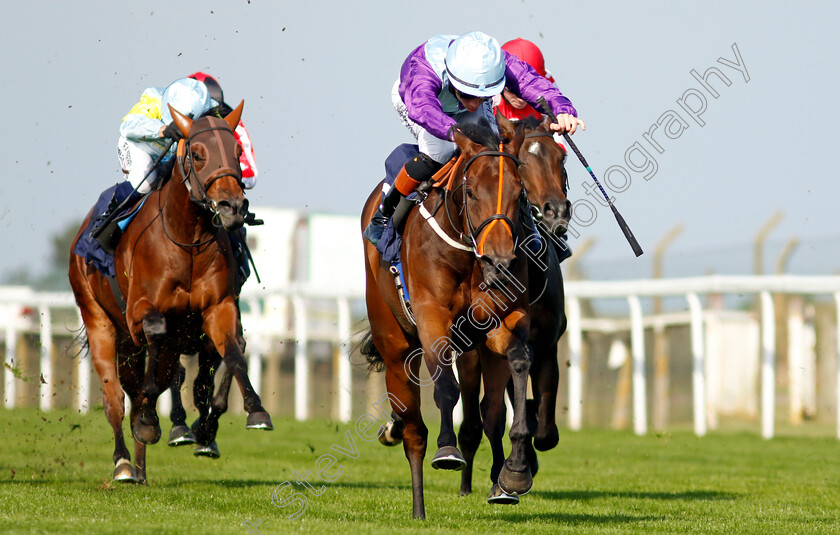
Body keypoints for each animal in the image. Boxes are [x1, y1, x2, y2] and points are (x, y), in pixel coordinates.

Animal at [71, 102, 272, 484]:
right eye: (196, 153)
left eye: (237, 152)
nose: (232, 207)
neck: (186, 239)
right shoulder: (139, 313)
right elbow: (160, 350)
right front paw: (158, 419)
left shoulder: (218, 308)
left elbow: (233, 354)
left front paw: (254, 411)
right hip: (99, 320)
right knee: (114, 397)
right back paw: (124, 463)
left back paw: (141, 466)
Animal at [360, 118, 532, 520]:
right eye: (470, 192)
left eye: (519, 193)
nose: (500, 262)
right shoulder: (431, 317)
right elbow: (444, 387)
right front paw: (447, 450)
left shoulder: (497, 322)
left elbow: (520, 361)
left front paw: (515, 473)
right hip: (394, 346)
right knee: (413, 431)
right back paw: (418, 508)